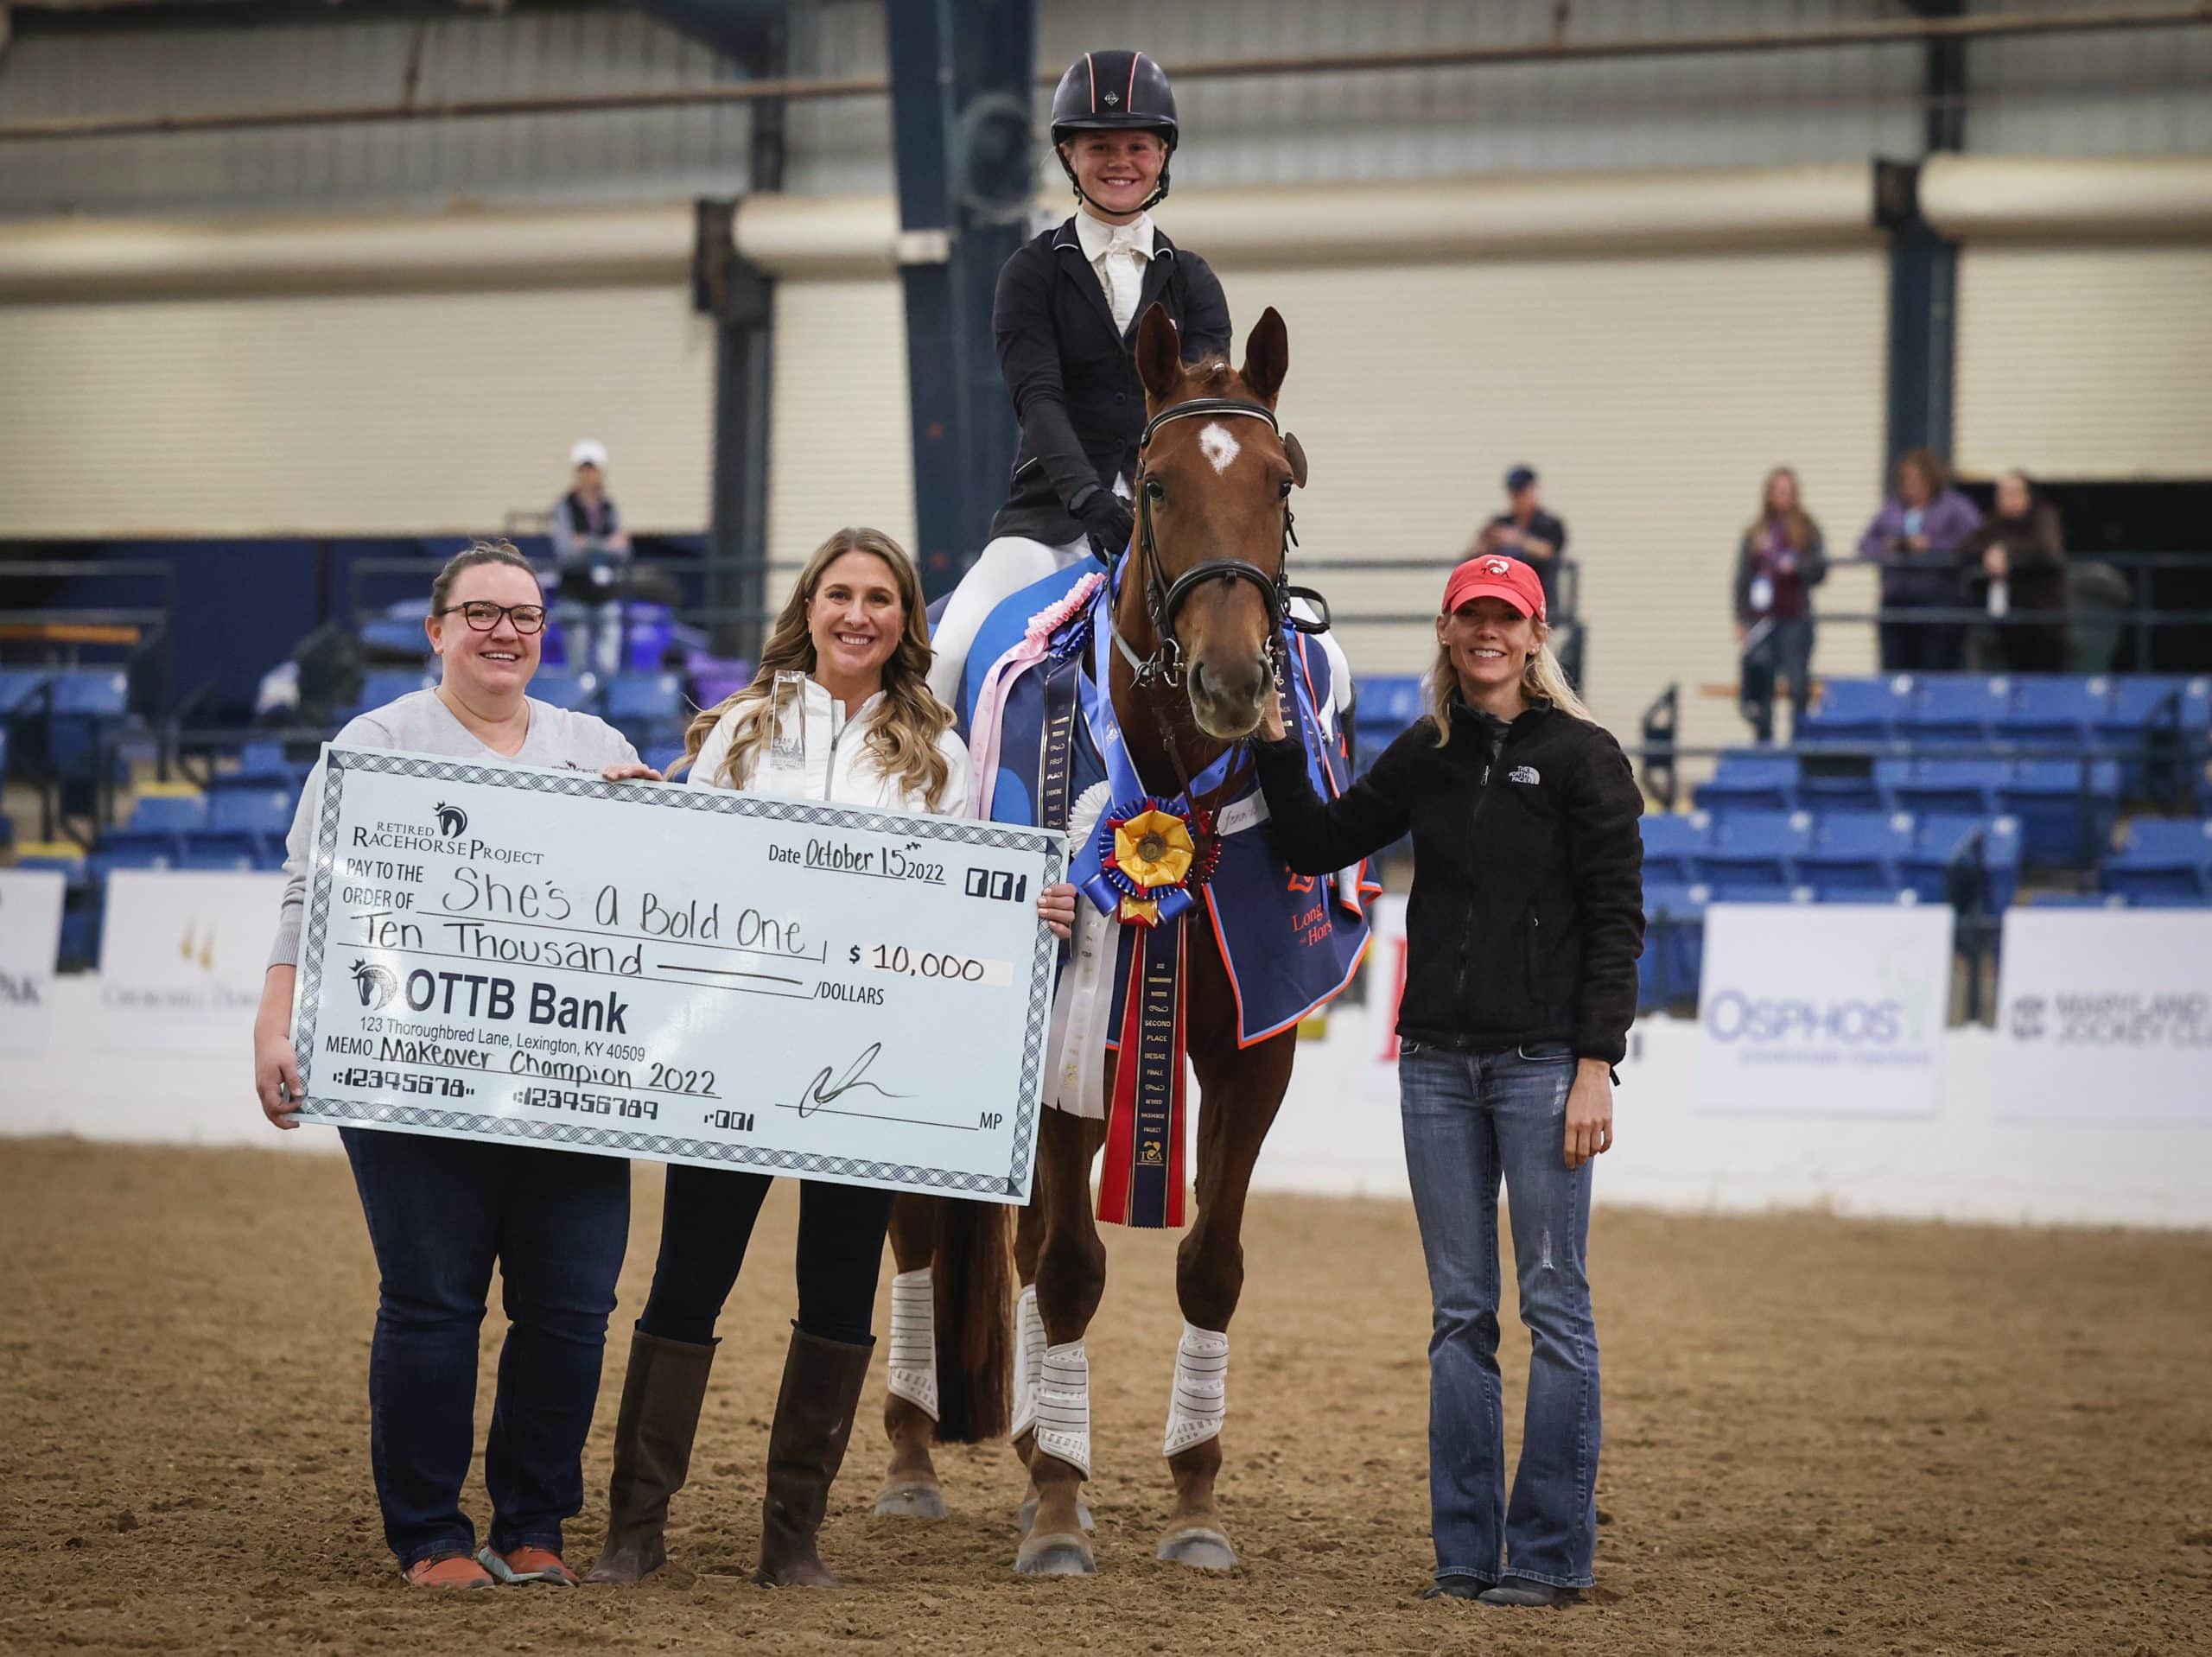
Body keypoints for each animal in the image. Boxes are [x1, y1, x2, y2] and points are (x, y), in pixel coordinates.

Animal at [880, 302, 1327, 1575]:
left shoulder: (1252, 1049)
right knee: (927, 1227)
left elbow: (1207, 1265)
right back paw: (917, 1462)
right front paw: (1059, 1516)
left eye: (1282, 481)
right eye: (1159, 484)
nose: (1232, 681)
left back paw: (1040, 1434)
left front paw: (1192, 1503)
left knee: (1027, 1241)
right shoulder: (1063, 1029)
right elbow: (1076, 1266)